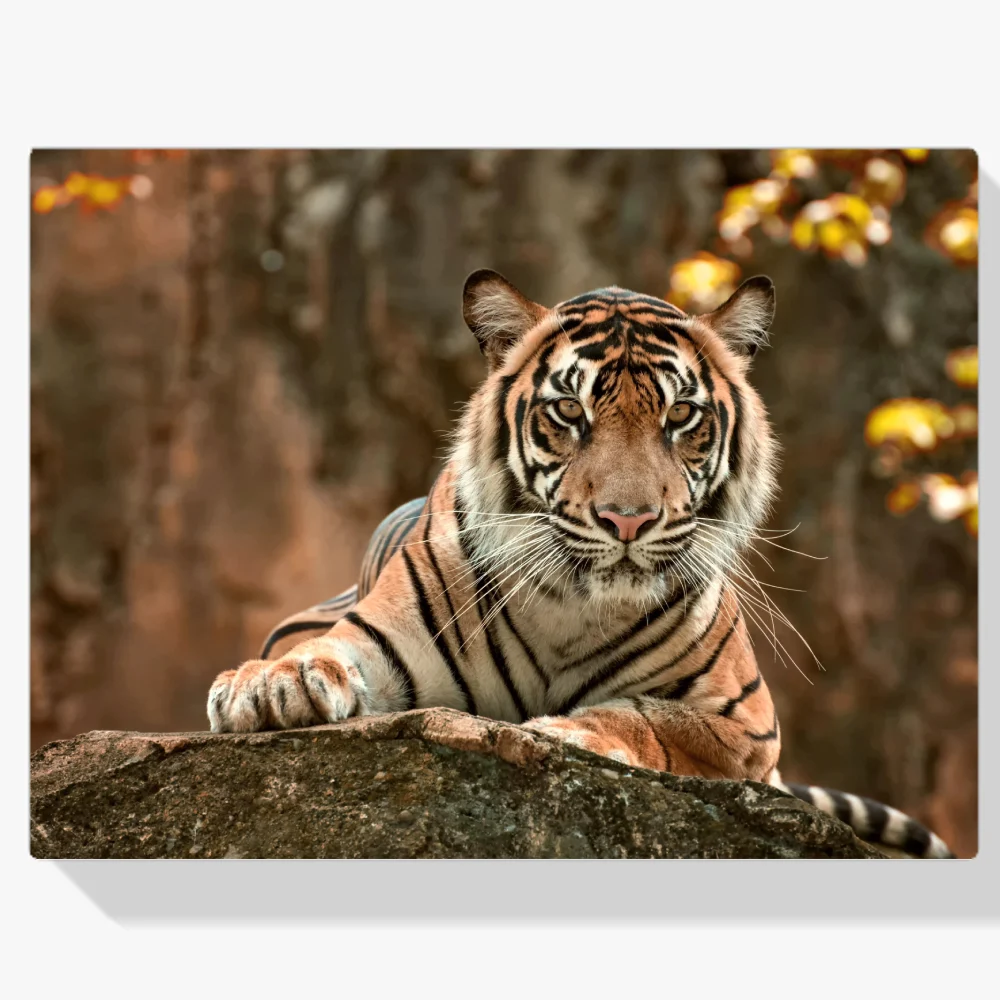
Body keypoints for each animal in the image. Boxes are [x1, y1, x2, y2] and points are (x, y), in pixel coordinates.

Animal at [208, 268, 955, 860]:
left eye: (681, 417)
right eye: (569, 411)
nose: (628, 519)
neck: (571, 606)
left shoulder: (746, 725)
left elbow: (648, 717)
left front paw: (565, 732)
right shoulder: (377, 637)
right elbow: (321, 656)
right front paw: (269, 686)